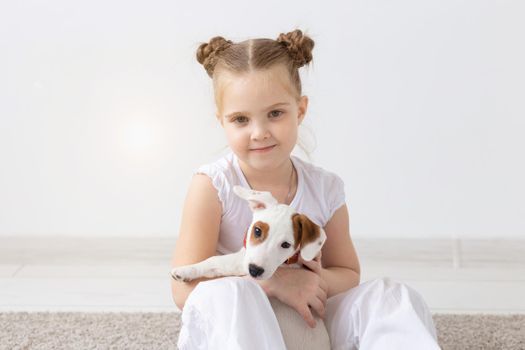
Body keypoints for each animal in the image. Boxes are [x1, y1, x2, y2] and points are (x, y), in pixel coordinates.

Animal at [172, 185, 330, 348]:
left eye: (286, 245)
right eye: (257, 231)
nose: (255, 270)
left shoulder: (238, 262)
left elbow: (213, 261)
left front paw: (186, 270)